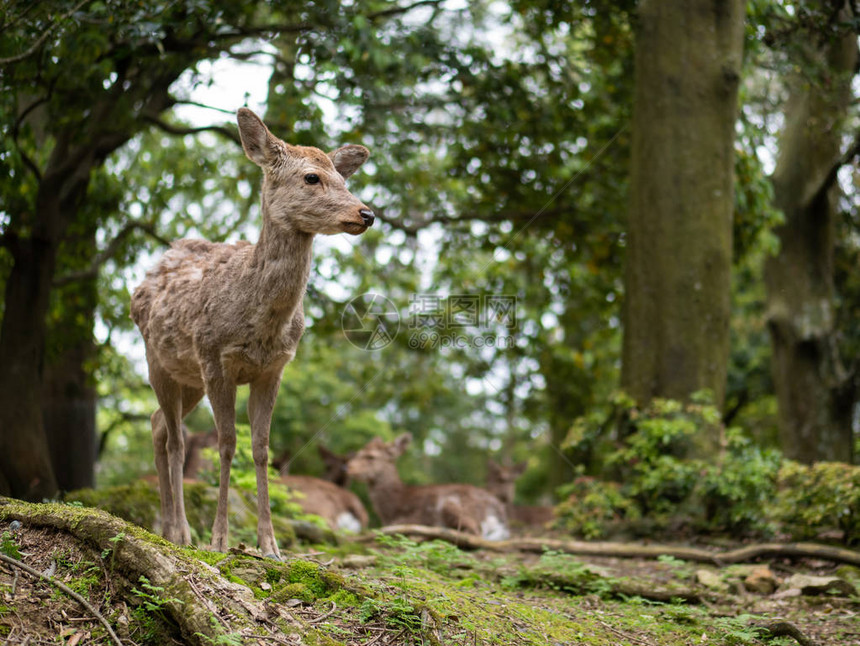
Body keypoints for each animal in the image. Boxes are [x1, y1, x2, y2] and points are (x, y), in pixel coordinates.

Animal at [129, 107, 372, 560]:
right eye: (312, 177)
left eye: (345, 180)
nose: (366, 214)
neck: (259, 323)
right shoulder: (215, 359)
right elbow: (226, 444)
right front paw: (220, 540)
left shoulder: (273, 369)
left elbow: (261, 448)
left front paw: (270, 545)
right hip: (160, 361)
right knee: (175, 440)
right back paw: (182, 532)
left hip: (189, 378)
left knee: (156, 425)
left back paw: (170, 527)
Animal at [346, 436, 510, 540]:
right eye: (358, 453)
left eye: (370, 456)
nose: (348, 468)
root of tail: (499, 514)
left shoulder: (407, 519)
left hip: (452, 504)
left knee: (474, 533)